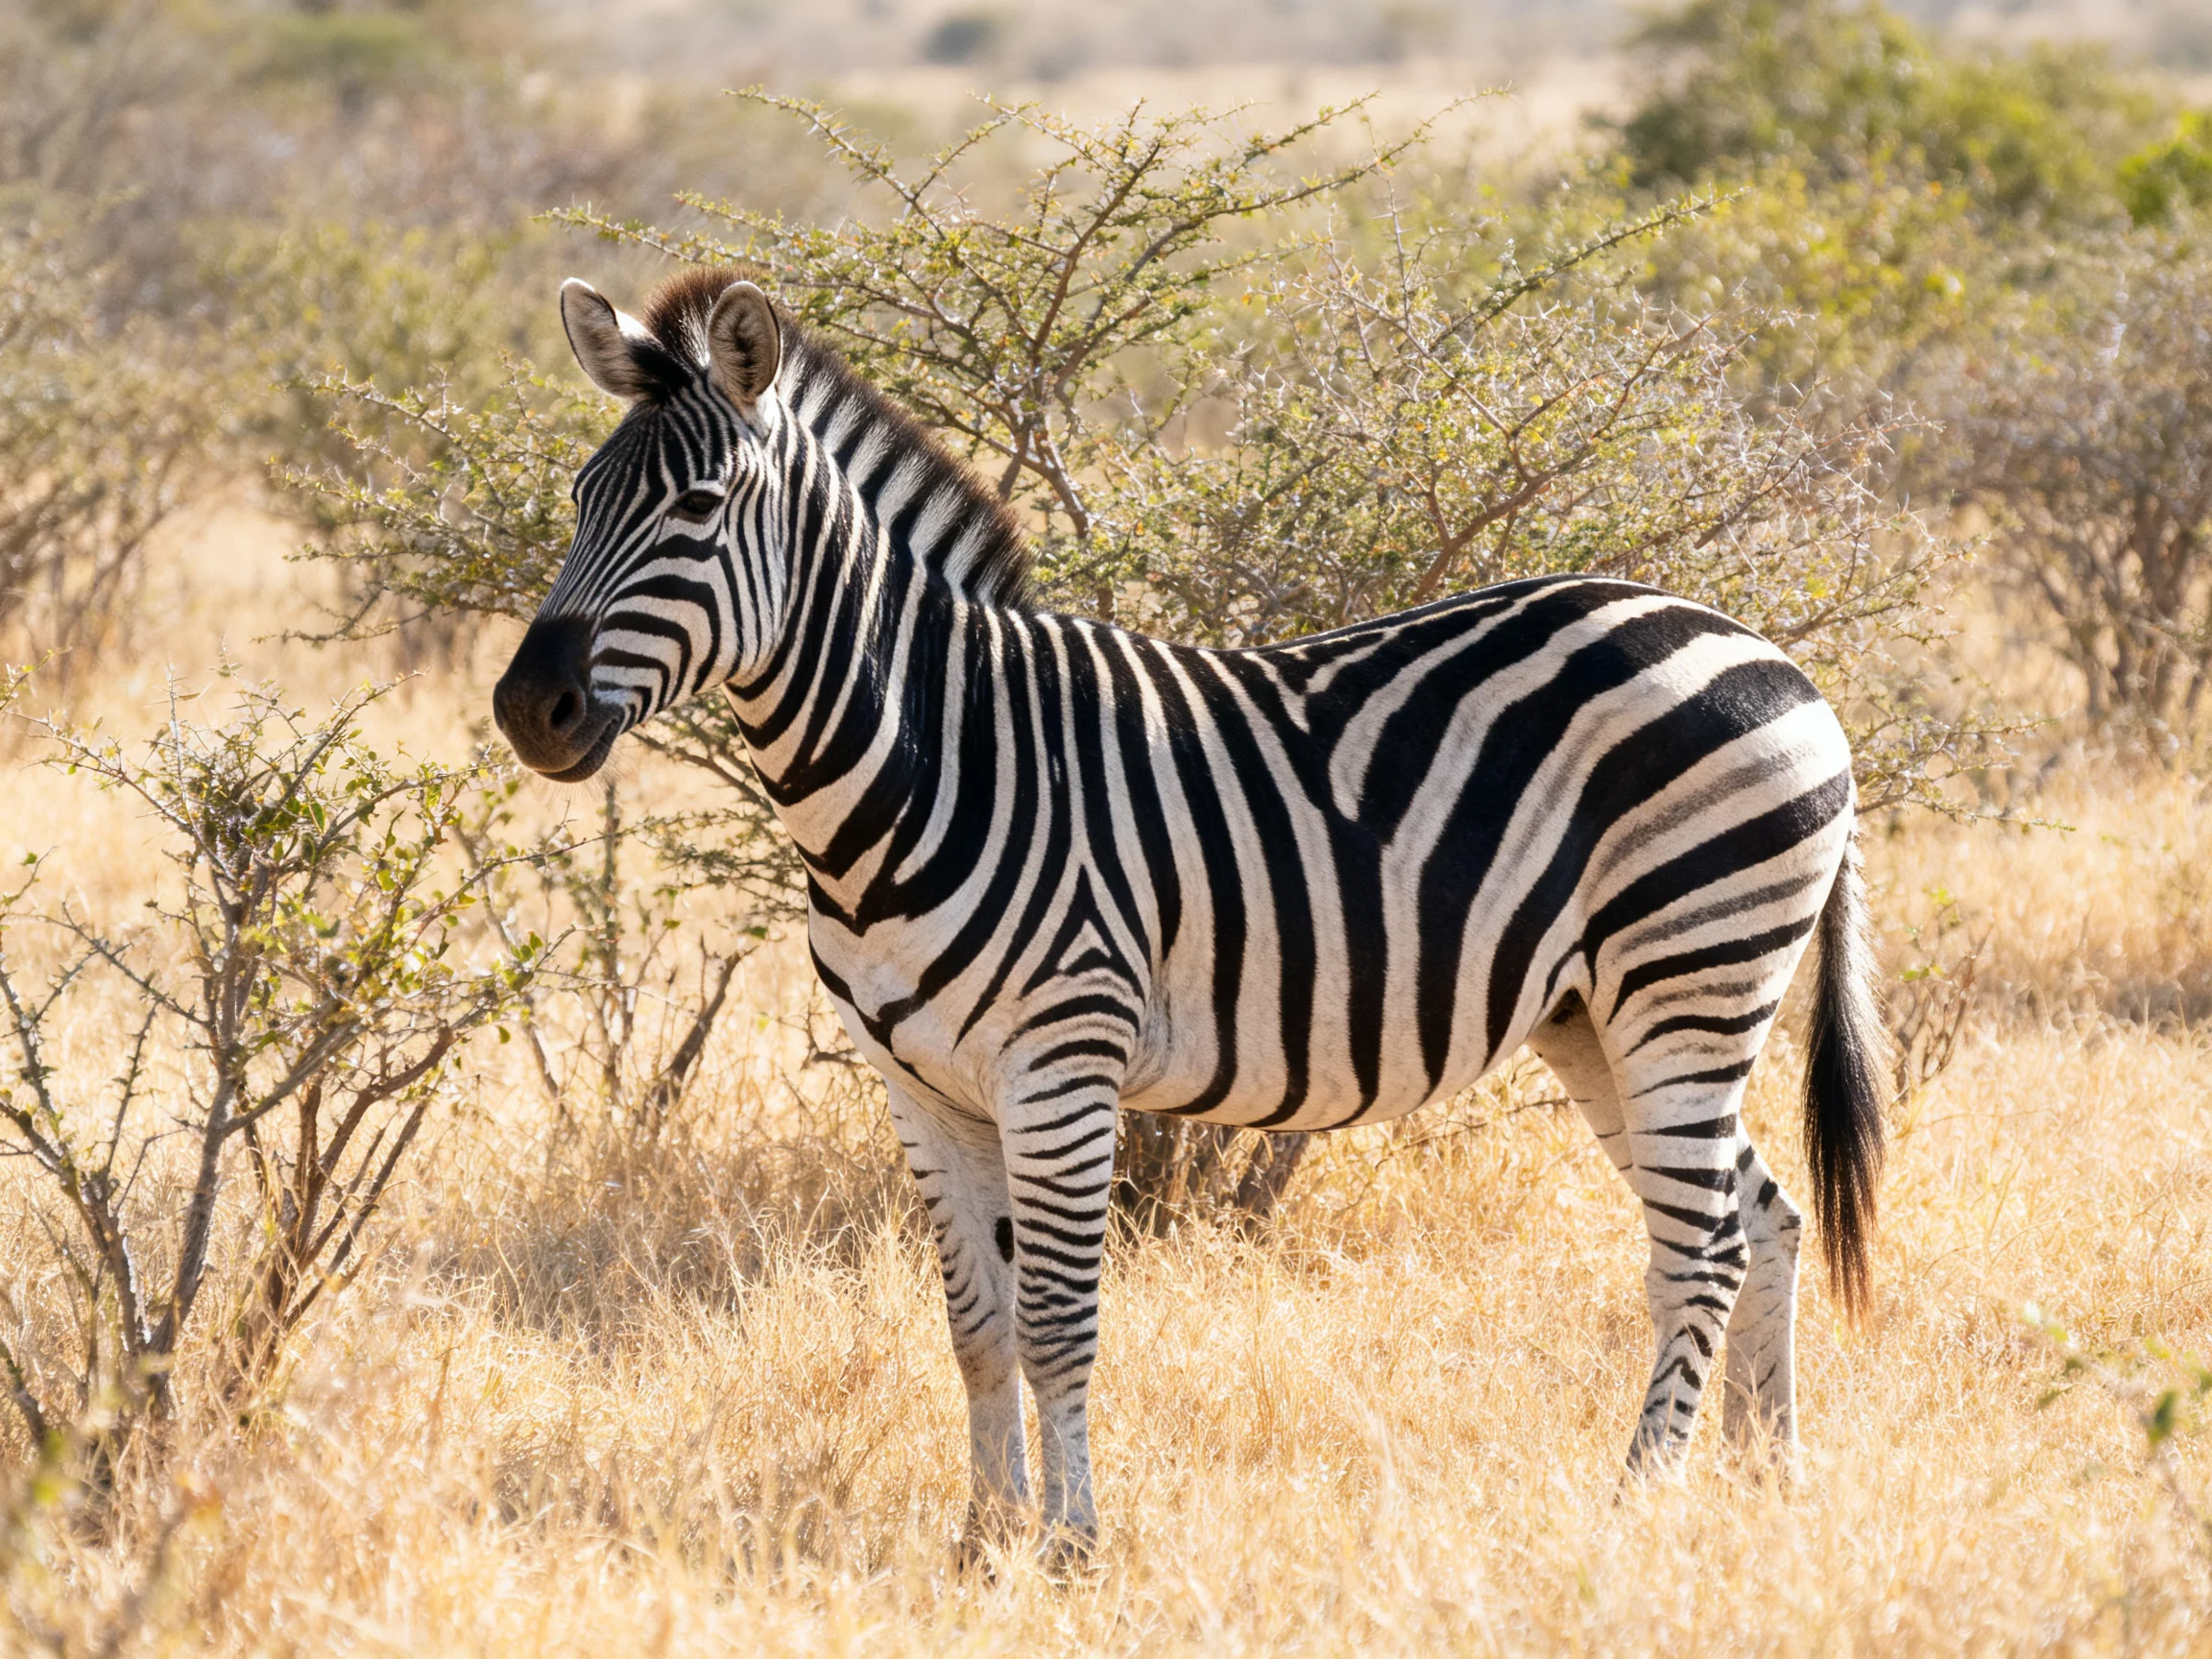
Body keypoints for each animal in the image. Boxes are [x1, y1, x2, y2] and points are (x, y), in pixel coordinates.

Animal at [493, 267, 1887, 1562]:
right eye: (579, 501)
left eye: (696, 509)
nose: (527, 709)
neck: (926, 762)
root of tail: (1774, 655)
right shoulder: (920, 1087)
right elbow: (976, 1328)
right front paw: (981, 1540)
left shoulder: (1060, 1063)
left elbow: (1058, 1326)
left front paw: (1069, 1547)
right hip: (1597, 1015)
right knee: (1765, 1217)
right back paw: (1768, 1484)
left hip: (1688, 978)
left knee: (1703, 1244)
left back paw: (1639, 1504)